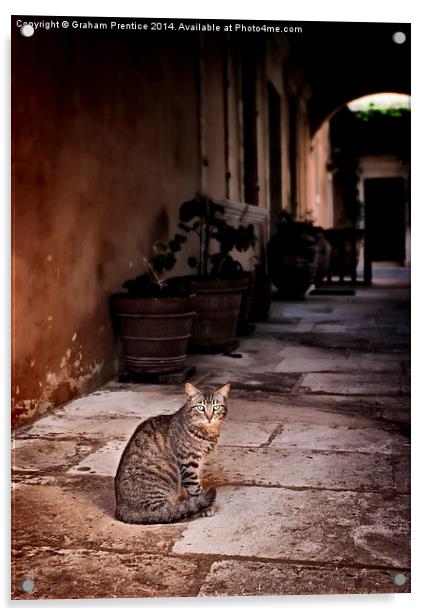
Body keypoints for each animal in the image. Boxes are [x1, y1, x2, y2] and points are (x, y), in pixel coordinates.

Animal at [112, 382, 229, 524]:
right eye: (200, 408)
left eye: (216, 407)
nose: (209, 417)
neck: (207, 432)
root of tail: (120, 508)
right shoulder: (188, 464)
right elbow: (195, 488)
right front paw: (205, 507)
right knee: (165, 513)